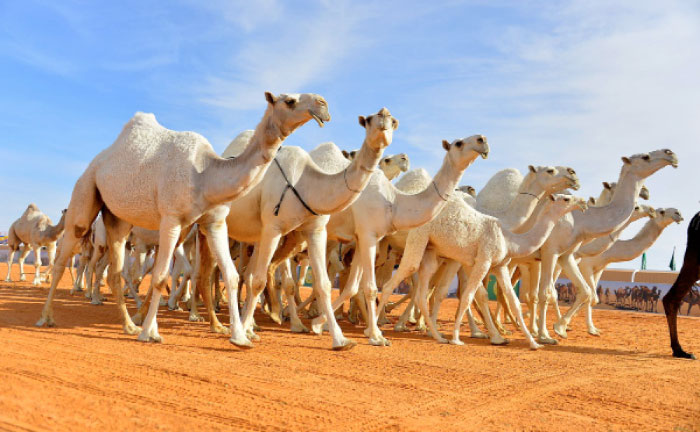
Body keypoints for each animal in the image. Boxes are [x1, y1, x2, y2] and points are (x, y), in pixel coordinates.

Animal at [32, 91, 328, 348]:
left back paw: (129, 325)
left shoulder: (214, 222)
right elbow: (160, 276)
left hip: (117, 218)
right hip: (85, 191)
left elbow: (231, 275)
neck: (205, 175)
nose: (323, 104)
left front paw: (239, 337)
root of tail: (99, 159)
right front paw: (150, 334)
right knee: (64, 257)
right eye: (289, 100)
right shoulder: (171, 219)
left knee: (115, 271)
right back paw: (46, 317)